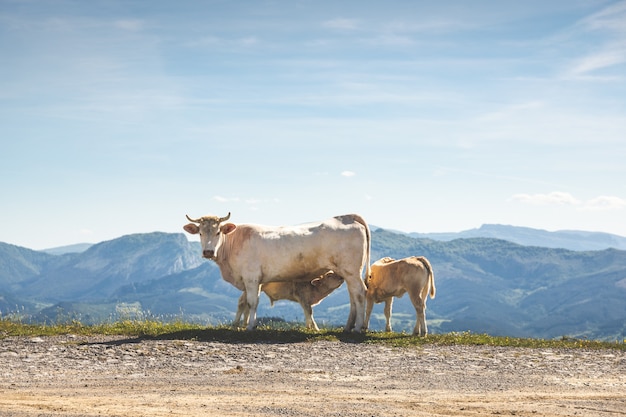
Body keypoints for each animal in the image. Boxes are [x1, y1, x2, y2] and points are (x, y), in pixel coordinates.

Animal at [184, 213, 370, 330]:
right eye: (200, 233)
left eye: (217, 232)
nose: (208, 252)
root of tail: (346, 216)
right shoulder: (252, 280)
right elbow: (246, 303)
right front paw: (245, 325)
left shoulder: (251, 278)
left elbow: (252, 302)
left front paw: (250, 326)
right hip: (348, 273)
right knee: (353, 296)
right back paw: (348, 326)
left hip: (352, 270)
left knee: (360, 293)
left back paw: (358, 328)